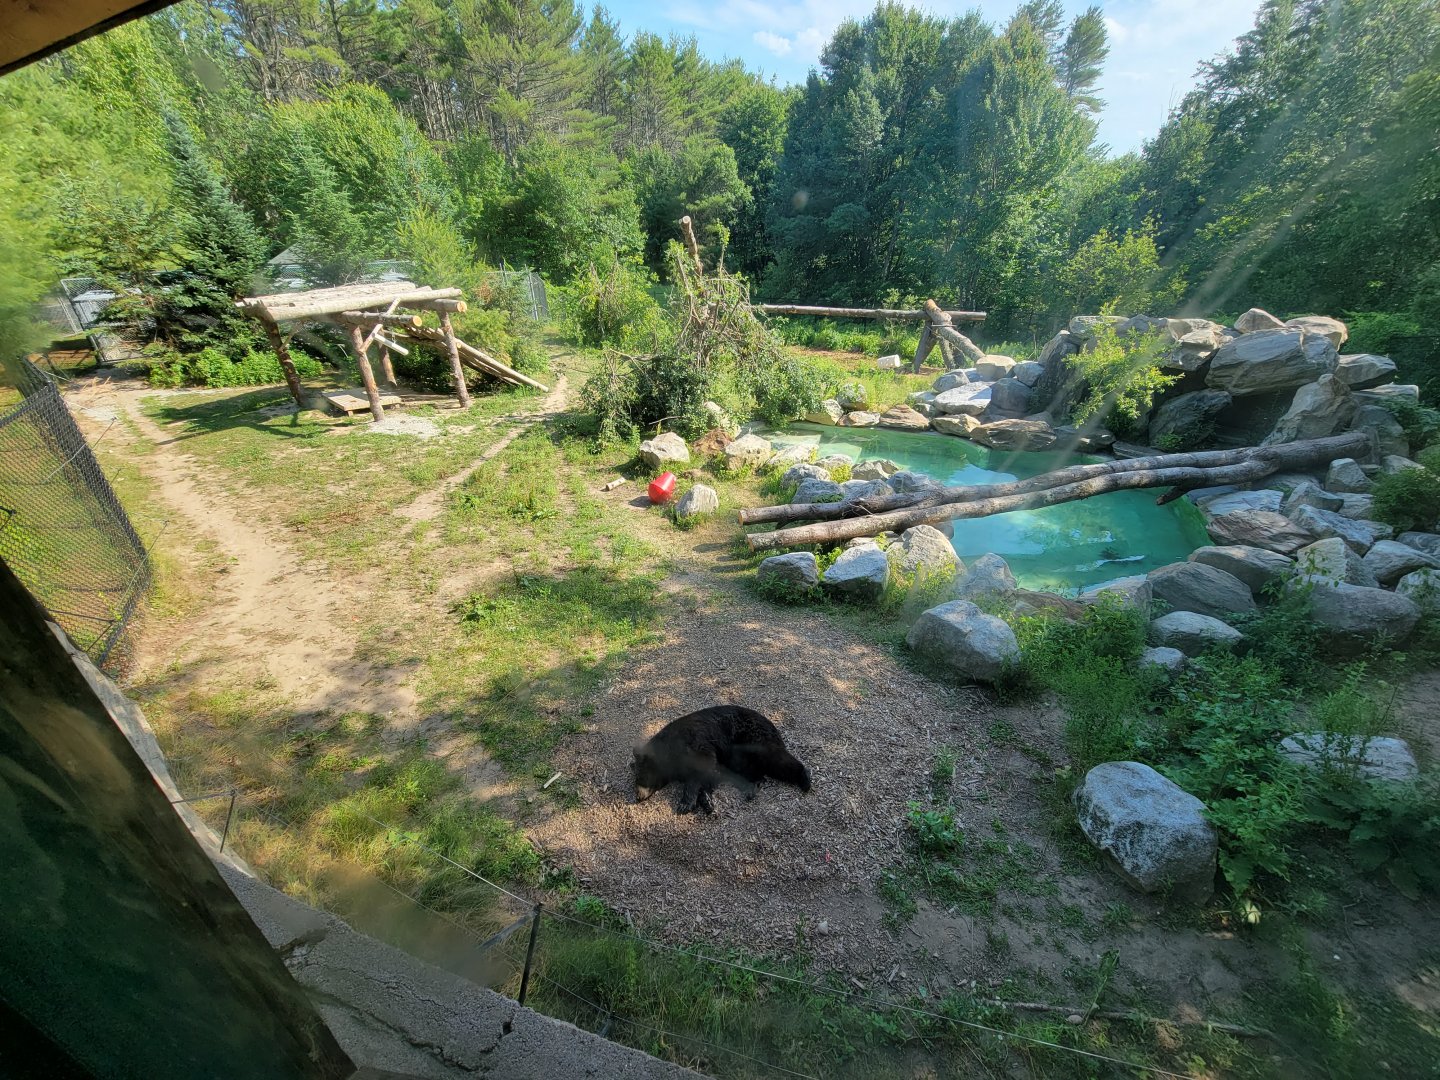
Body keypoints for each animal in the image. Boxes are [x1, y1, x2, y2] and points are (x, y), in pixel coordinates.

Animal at [632, 705, 811, 815]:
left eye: (640, 777)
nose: (638, 797)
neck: (669, 750)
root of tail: (770, 722)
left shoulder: (694, 744)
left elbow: (700, 769)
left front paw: (686, 802)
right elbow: (710, 775)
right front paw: (706, 801)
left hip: (755, 739)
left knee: (777, 760)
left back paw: (805, 779)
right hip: (737, 754)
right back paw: (752, 786)